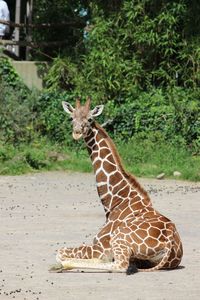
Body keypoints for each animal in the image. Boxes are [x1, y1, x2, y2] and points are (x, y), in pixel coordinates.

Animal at [52, 98, 184, 274]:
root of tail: (169, 243)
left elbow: (59, 252)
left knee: (120, 265)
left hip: (119, 237)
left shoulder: (99, 246)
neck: (114, 202)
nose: (77, 132)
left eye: (90, 119)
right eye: (71, 118)